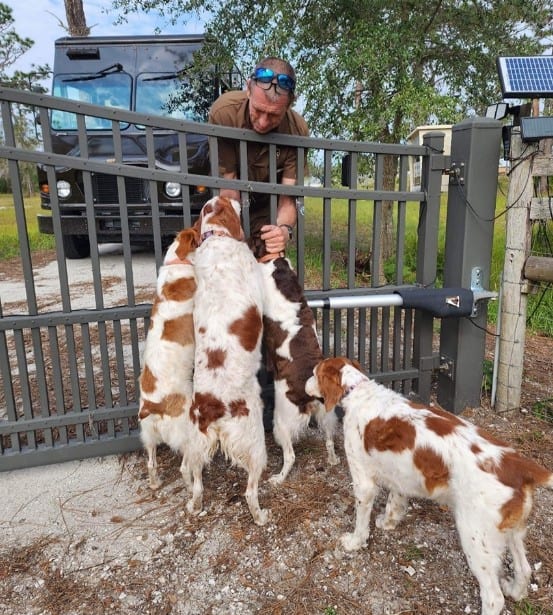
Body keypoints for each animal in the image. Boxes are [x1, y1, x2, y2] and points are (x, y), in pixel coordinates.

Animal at [304, 356, 552, 615]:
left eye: (314, 373)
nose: (304, 384)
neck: (359, 390)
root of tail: (518, 465)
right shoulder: (399, 476)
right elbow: (395, 501)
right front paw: (388, 522)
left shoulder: (363, 481)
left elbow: (362, 522)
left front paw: (354, 542)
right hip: (513, 530)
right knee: (524, 569)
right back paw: (515, 590)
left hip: (475, 538)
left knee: (494, 598)